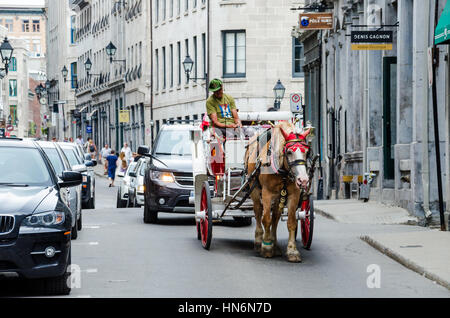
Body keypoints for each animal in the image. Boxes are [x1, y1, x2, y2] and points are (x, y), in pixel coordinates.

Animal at [244, 120, 312, 262]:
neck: (283, 171)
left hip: (279, 196)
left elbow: (291, 222)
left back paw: (274, 244)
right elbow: (266, 219)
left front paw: (292, 251)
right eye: (289, 152)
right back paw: (259, 241)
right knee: (258, 212)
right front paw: (266, 247)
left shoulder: (293, 194)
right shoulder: (267, 194)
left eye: (307, 152)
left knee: (275, 217)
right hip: (254, 190)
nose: (303, 180)